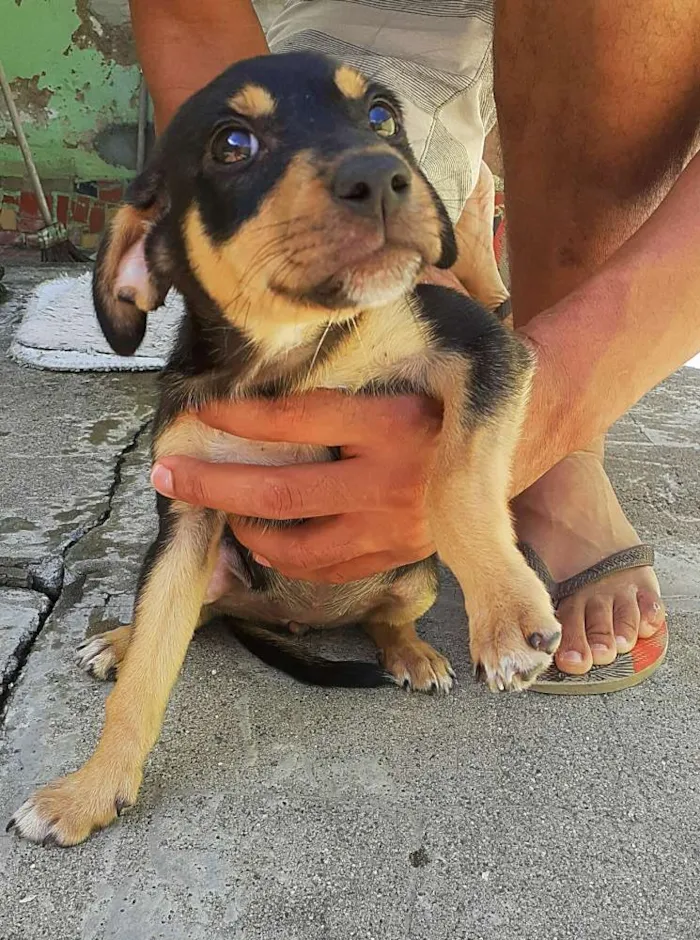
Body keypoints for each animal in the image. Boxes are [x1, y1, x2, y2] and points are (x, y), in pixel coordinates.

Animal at [8, 53, 560, 844]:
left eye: (381, 117)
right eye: (232, 145)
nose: (382, 176)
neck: (283, 357)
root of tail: (297, 622)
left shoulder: (483, 347)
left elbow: (455, 481)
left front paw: (506, 612)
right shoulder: (187, 515)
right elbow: (148, 674)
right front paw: (91, 790)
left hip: (415, 578)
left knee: (384, 615)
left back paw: (412, 651)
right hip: (201, 567)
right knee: (183, 617)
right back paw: (118, 640)